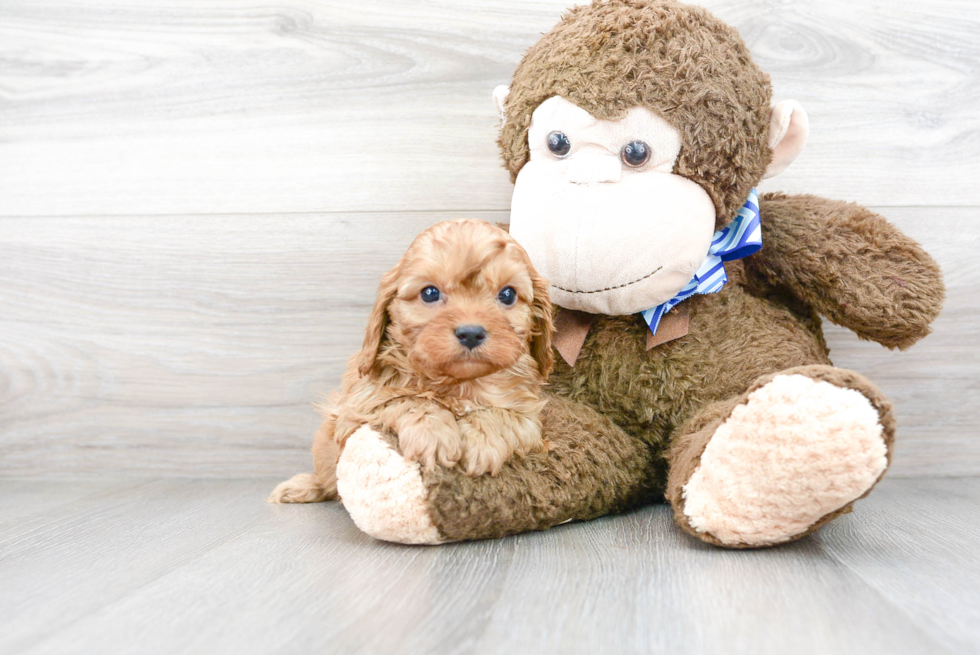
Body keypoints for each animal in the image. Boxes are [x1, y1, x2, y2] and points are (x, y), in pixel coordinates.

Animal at [268, 218, 556, 504]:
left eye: (507, 295)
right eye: (429, 293)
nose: (471, 333)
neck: (458, 383)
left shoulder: (529, 416)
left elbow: (503, 415)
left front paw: (482, 440)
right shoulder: (357, 409)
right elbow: (408, 400)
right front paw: (433, 434)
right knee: (327, 478)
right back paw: (302, 486)